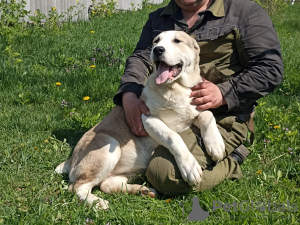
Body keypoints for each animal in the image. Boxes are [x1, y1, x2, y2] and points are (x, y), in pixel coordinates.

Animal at [54, 30, 225, 210]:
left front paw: (216, 145)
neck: (176, 88)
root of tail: (72, 158)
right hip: (109, 145)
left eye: (177, 40)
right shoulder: (148, 119)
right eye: (156, 41)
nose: (158, 50)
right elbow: (173, 136)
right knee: (76, 186)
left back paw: (142, 190)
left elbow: (208, 115)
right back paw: (97, 201)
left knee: (106, 184)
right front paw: (189, 166)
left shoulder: (195, 111)